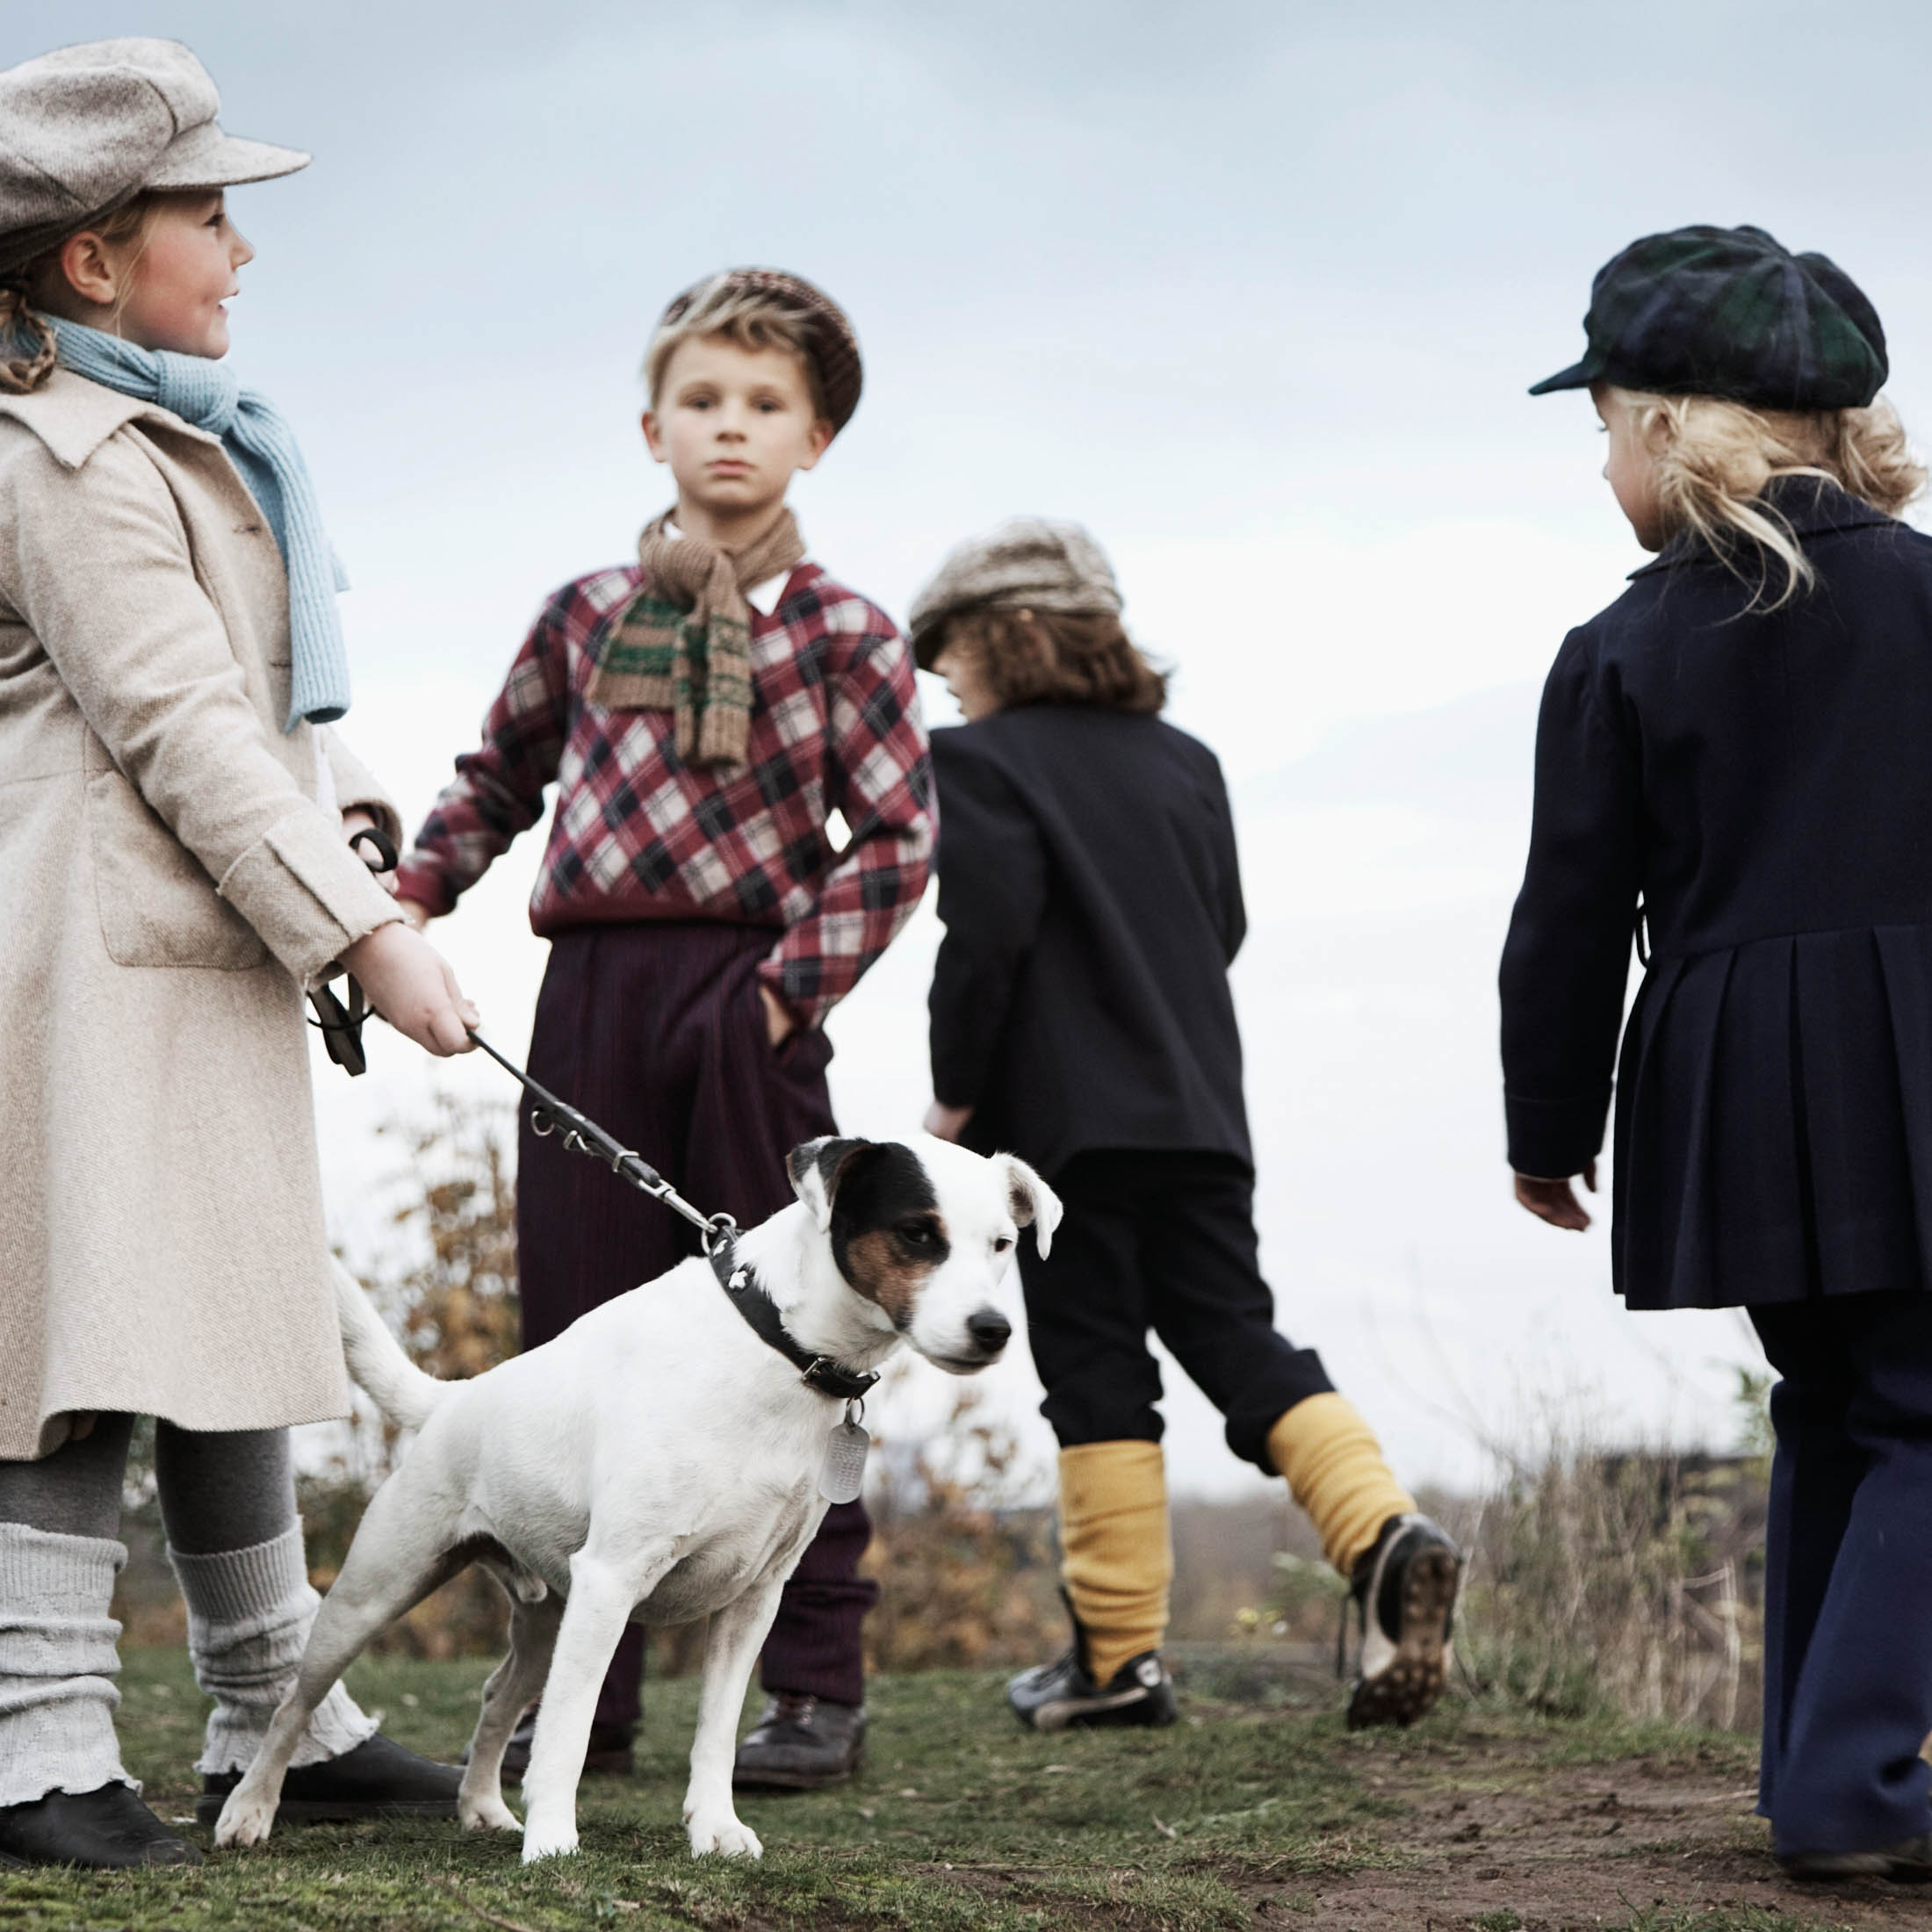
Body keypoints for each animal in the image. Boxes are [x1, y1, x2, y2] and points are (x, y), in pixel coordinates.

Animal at [219, 1135, 1066, 1862]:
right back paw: (250, 1810)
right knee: (294, 1703)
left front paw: (715, 1828)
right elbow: (569, 1732)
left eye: (1003, 1244)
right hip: (377, 1593)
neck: (778, 1348)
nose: (993, 1330)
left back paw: (482, 1807)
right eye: (917, 1234)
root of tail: (454, 1400)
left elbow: (716, 1731)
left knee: (497, 1698)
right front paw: (554, 1844)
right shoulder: (613, 1579)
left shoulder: (753, 1597)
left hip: (548, 1617)